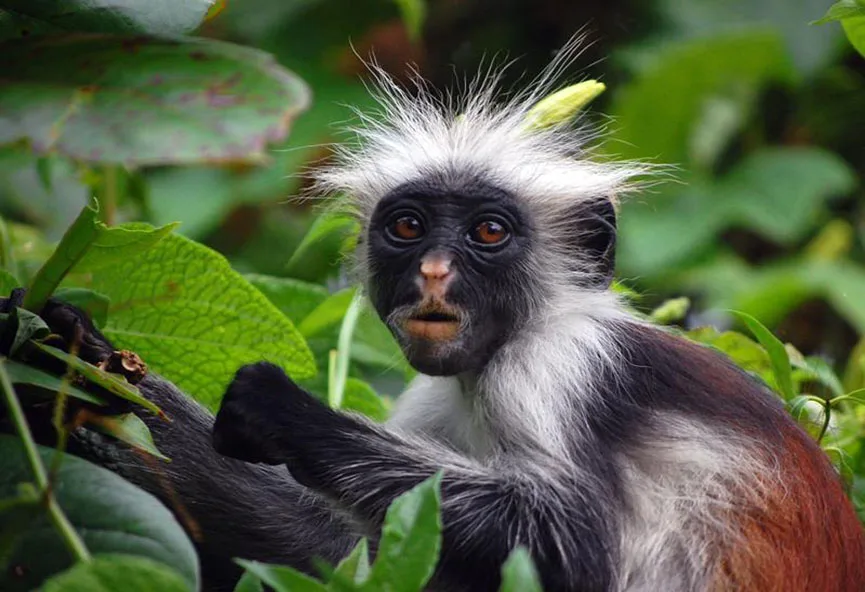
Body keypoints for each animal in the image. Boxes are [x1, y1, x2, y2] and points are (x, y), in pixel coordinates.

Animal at [10, 41, 865, 592]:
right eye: (408, 226)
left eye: (487, 232)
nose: (430, 271)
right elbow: (344, 555)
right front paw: (67, 364)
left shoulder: (560, 366)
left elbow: (573, 545)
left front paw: (281, 410)